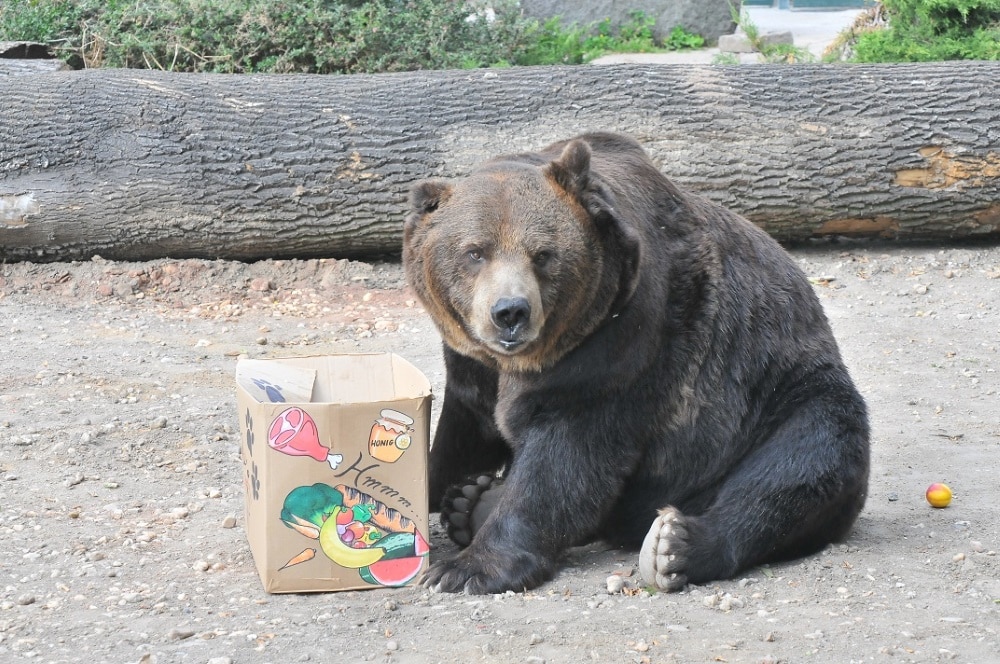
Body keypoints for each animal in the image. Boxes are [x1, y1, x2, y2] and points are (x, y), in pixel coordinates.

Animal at [402, 132, 872, 592]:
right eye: (475, 252)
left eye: (543, 254)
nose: (511, 312)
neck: (524, 362)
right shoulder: (471, 364)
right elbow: (463, 430)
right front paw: (438, 488)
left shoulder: (620, 348)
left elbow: (565, 457)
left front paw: (465, 569)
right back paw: (471, 501)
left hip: (781, 396)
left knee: (800, 462)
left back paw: (675, 547)